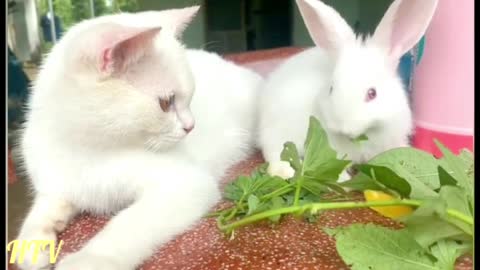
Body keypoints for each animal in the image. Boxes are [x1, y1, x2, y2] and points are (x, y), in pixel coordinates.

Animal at [258, 0, 438, 180]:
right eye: (331, 89)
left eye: (372, 93)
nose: (344, 129)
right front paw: (343, 179)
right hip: (277, 130)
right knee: (275, 152)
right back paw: (285, 170)